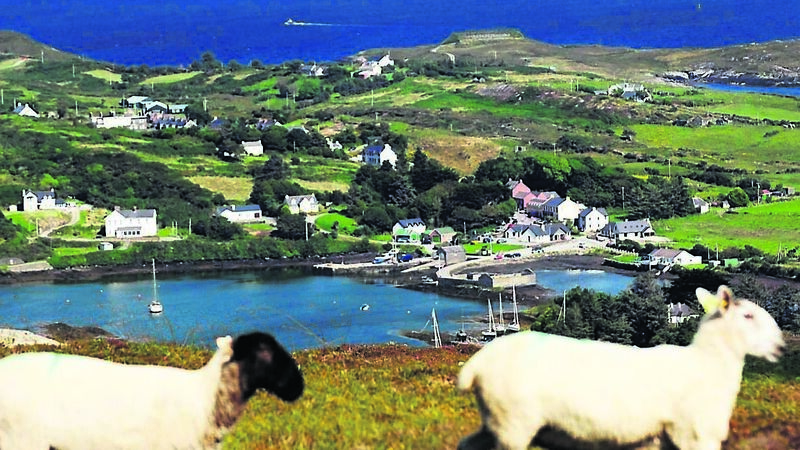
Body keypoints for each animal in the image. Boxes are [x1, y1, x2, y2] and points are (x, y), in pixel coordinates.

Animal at [457, 285, 785, 450]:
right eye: (748, 316)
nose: (781, 346)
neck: (708, 364)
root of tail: (478, 363)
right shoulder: (694, 436)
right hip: (514, 422)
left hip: (496, 420)